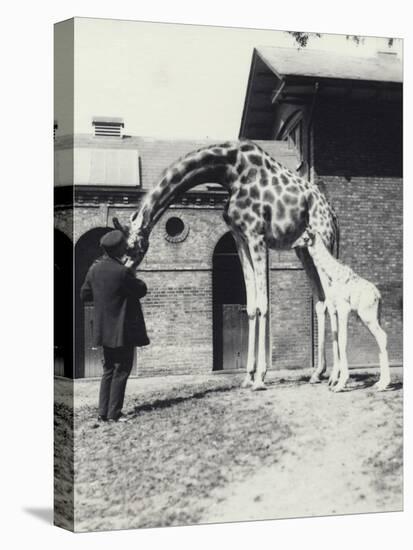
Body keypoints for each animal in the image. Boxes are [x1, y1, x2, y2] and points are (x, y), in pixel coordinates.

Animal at [115, 140, 338, 390]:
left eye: (132, 248)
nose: (125, 273)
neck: (230, 171)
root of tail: (332, 214)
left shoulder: (256, 236)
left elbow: (263, 304)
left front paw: (260, 378)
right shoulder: (240, 237)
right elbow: (251, 306)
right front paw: (247, 376)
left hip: (324, 242)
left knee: (333, 299)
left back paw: (336, 375)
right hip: (305, 250)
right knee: (321, 301)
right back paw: (317, 373)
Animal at [292, 227, 390, 392]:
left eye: (305, 237)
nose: (293, 245)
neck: (332, 275)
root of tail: (379, 296)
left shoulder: (344, 309)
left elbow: (343, 340)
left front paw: (340, 384)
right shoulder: (334, 309)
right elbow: (336, 339)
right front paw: (335, 381)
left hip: (367, 316)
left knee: (382, 337)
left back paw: (384, 385)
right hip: (372, 317)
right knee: (379, 339)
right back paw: (379, 383)